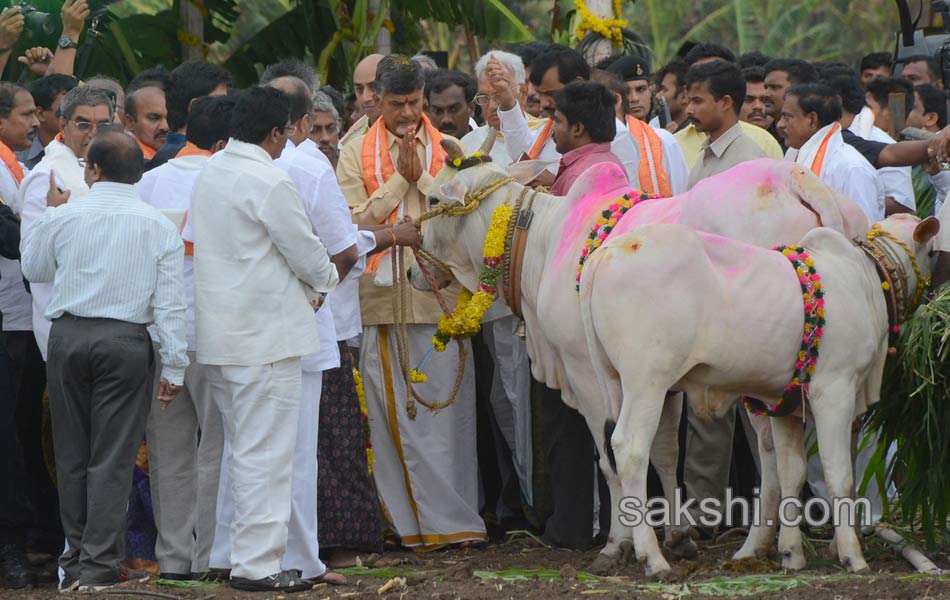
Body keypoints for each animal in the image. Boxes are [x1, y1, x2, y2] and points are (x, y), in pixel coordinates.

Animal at [414, 136, 872, 572]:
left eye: (433, 199)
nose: (411, 269)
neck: (542, 238)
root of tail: (797, 179)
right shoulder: (662, 382)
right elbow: (665, 451)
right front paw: (676, 536)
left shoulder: (588, 373)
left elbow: (611, 457)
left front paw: (618, 543)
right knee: (835, 444)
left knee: (771, 452)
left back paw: (763, 544)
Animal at [576, 216, 940, 576]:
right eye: (934, 252)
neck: (865, 278)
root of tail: (607, 253)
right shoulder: (834, 390)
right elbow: (839, 474)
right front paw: (853, 557)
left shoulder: (784, 405)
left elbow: (791, 471)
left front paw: (792, 554)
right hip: (646, 381)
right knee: (630, 449)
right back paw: (653, 558)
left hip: (615, 382)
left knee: (634, 453)